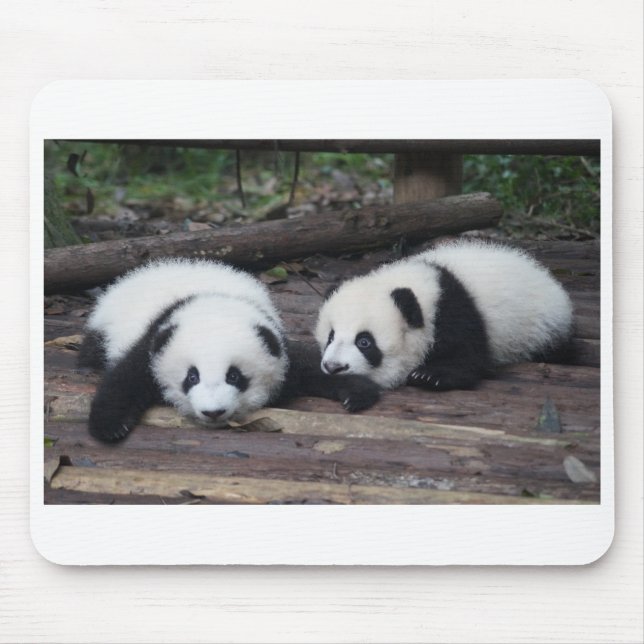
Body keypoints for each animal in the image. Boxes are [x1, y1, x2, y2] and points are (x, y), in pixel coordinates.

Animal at [79, 258, 379, 442]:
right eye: (192, 377)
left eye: (234, 376)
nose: (213, 412)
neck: (215, 302)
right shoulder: (155, 339)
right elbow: (126, 378)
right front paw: (110, 426)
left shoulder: (275, 342)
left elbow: (308, 366)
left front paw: (356, 392)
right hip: (104, 328)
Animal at [315, 239, 574, 393]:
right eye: (330, 337)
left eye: (364, 342)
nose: (333, 367)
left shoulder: (454, 312)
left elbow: (468, 357)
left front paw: (429, 376)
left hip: (542, 328)